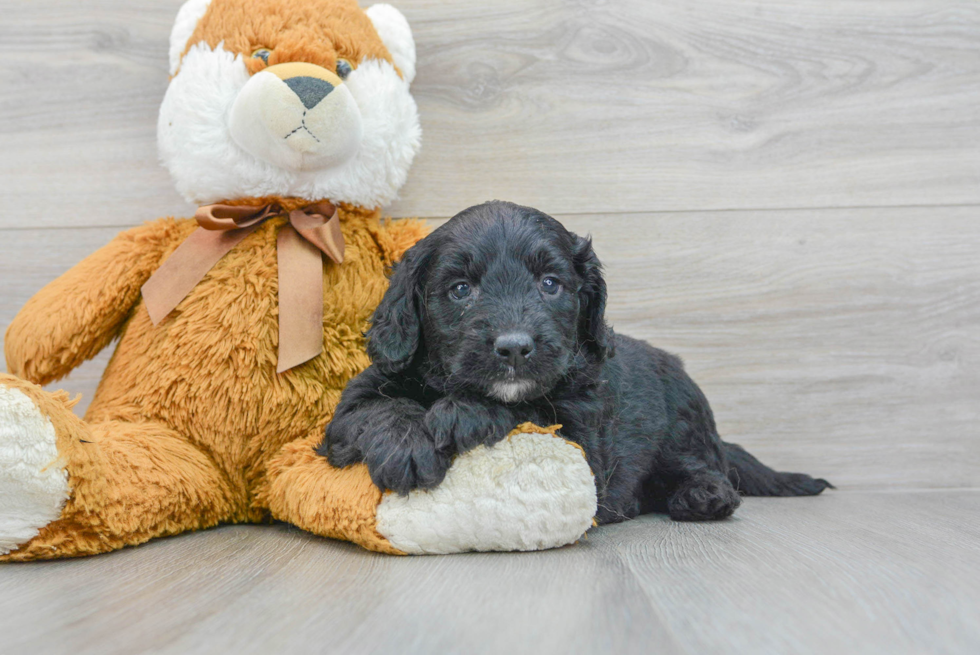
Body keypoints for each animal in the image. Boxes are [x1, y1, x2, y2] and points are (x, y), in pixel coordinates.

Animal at [320, 200, 828, 524]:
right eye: (460, 289)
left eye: (550, 283)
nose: (514, 347)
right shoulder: (349, 409)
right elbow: (376, 408)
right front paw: (407, 447)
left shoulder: (584, 440)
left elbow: (532, 410)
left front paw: (464, 412)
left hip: (684, 429)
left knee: (707, 468)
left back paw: (703, 496)